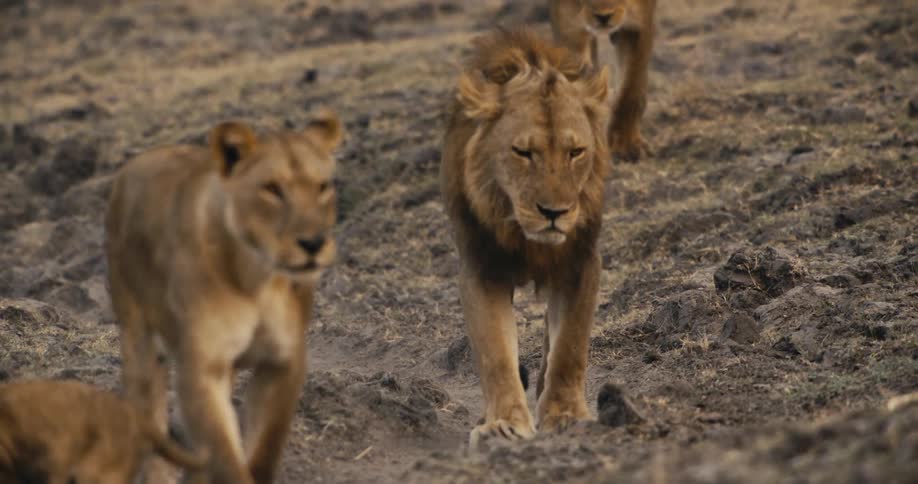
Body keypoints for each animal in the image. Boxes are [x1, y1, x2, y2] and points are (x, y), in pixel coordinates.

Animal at [105, 110, 342, 483]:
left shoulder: (284, 361)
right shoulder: (202, 367)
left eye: (323, 187)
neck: (256, 278)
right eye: (272, 189)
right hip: (138, 341)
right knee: (151, 423)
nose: (314, 243)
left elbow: (263, 452)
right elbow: (228, 461)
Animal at [440, 27, 611, 446]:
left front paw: (566, 415)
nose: (554, 213)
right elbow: (495, 353)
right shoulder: (482, 269)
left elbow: (570, 347)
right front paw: (504, 424)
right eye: (522, 151)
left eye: (575, 152)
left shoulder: (581, 262)